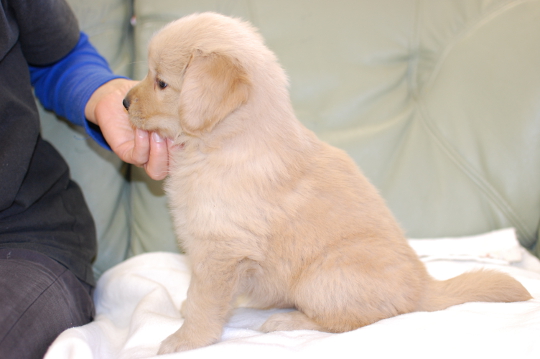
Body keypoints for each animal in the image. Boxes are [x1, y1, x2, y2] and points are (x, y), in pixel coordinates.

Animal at [122, 12, 532, 356]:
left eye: (161, 82)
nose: (124, 101)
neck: (225, 143)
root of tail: (425, 285)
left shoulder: (221, 250)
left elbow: (206, 303)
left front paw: (184, 340)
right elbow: (201, 293)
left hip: (322, 278)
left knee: (356, 321)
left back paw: (287, 319)